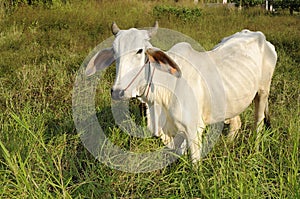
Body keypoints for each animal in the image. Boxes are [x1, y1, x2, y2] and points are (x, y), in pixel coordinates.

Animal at [84, 22, 276, 163]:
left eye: (140, 50)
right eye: (114, 52)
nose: (118, 91)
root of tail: (256, 34)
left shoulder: (193, 129)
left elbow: (195, 162)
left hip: (263, 91)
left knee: (258, 122)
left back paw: (255, 149)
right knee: (236, 123)